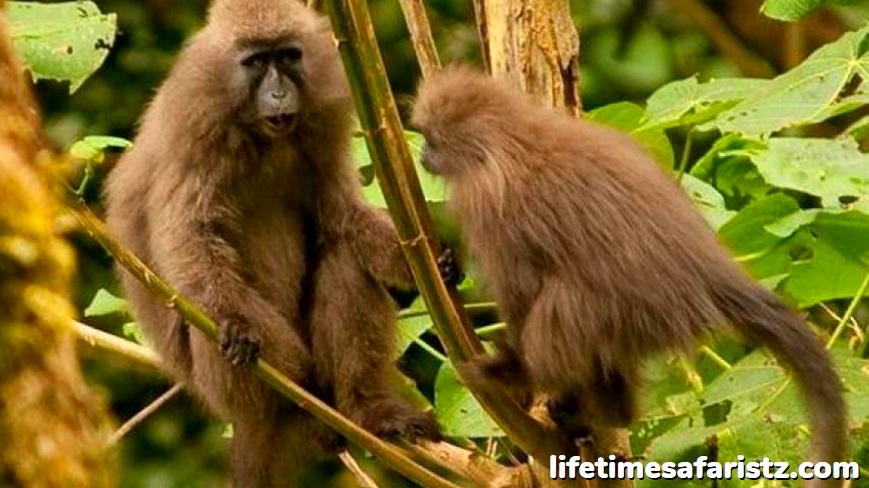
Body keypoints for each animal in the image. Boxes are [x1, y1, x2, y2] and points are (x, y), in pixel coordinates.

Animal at [105, 0, 437, 485]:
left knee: (346, 257)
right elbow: (190, 232)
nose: (279, 94)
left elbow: (340, 217)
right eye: (257, 63)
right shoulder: (196, 125)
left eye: (288, 57)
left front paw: (419, 264)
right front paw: (236, 323)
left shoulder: (322, 127)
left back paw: (365, 411)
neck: (261, 138)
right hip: (223, 383)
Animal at [410, 66, 847, 480]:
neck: (512, 140)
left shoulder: (490, 211)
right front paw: (446, 267)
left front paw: (516, 375)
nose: (423, 157)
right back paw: (607, 412)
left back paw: (538, 381)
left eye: (432, 140)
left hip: (623, 308)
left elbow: (520, 290)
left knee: (560, 303)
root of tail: (708, 273)